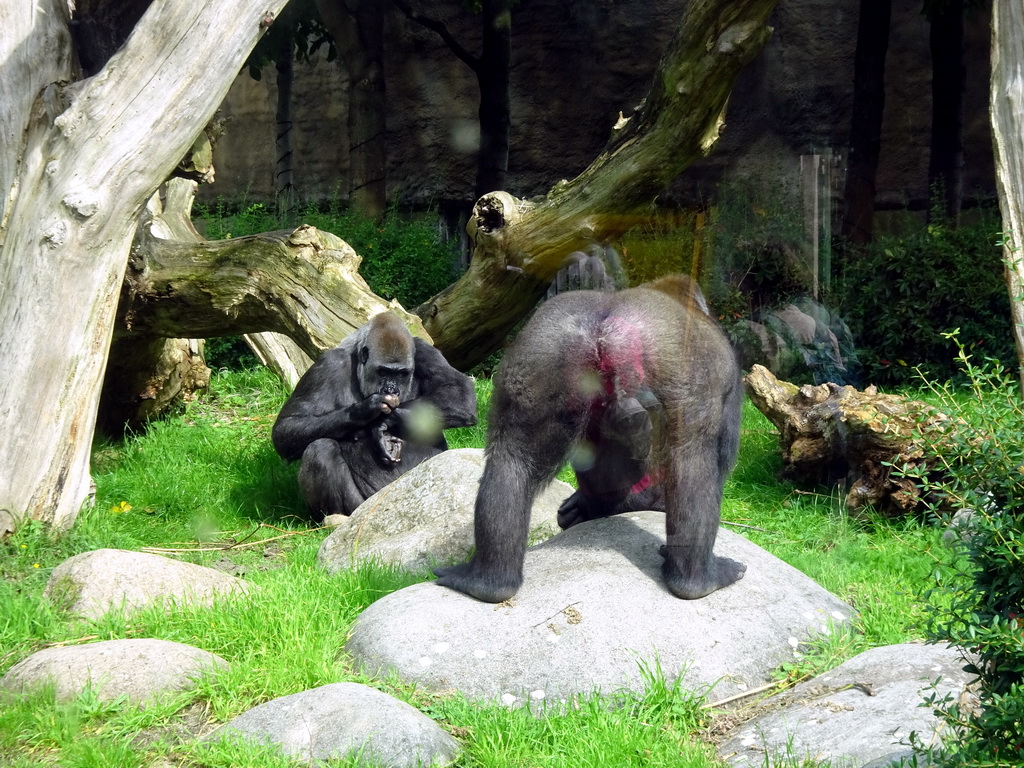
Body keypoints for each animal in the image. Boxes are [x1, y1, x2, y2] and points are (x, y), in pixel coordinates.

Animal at [272, 309, 479, 520]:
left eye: (401, 373)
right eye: (383, 372)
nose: (392, 389)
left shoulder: (424, 351)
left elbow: (458, 393)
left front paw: (380, 424)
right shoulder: (329, 363)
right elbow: (287, 428)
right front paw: (367, 410)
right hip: (364, 508)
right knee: (320, 449)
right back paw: (337, 518)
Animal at [434, 276, 745, 606]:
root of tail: (608, 328)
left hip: (541, 349)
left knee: (512, 458)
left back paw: (488, 581)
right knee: (692, 461)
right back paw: (696, 580)